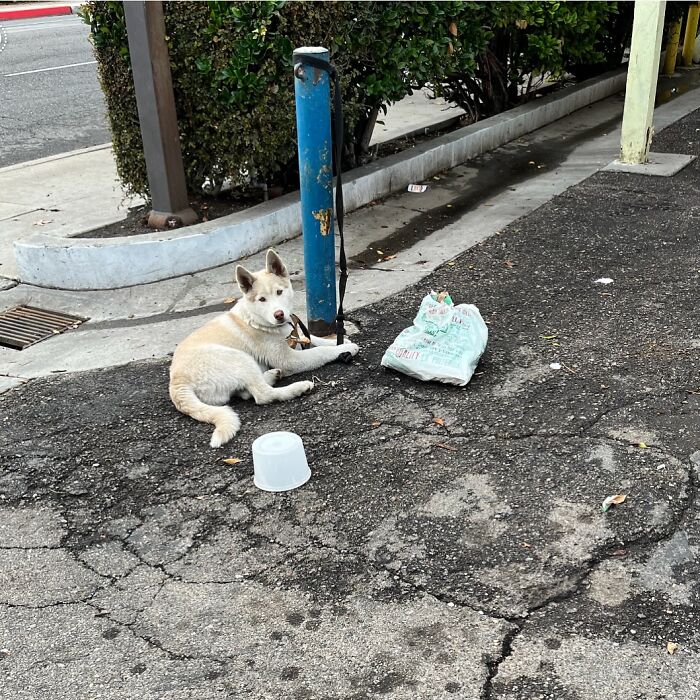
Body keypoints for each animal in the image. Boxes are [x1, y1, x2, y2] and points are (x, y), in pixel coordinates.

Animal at [167, 250, 358, 448]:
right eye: (262, 299)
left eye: (279, 292)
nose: (279, 314)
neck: (257, 319)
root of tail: (177, 383)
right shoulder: (289, 360)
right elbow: (318, 352)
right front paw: (346, 348)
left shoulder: (294, 337)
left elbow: (313, 339)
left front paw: (338, 342)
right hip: (239, 358)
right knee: (262, 395)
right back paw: (297, 388)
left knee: (247, 392)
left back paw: (272, 375)